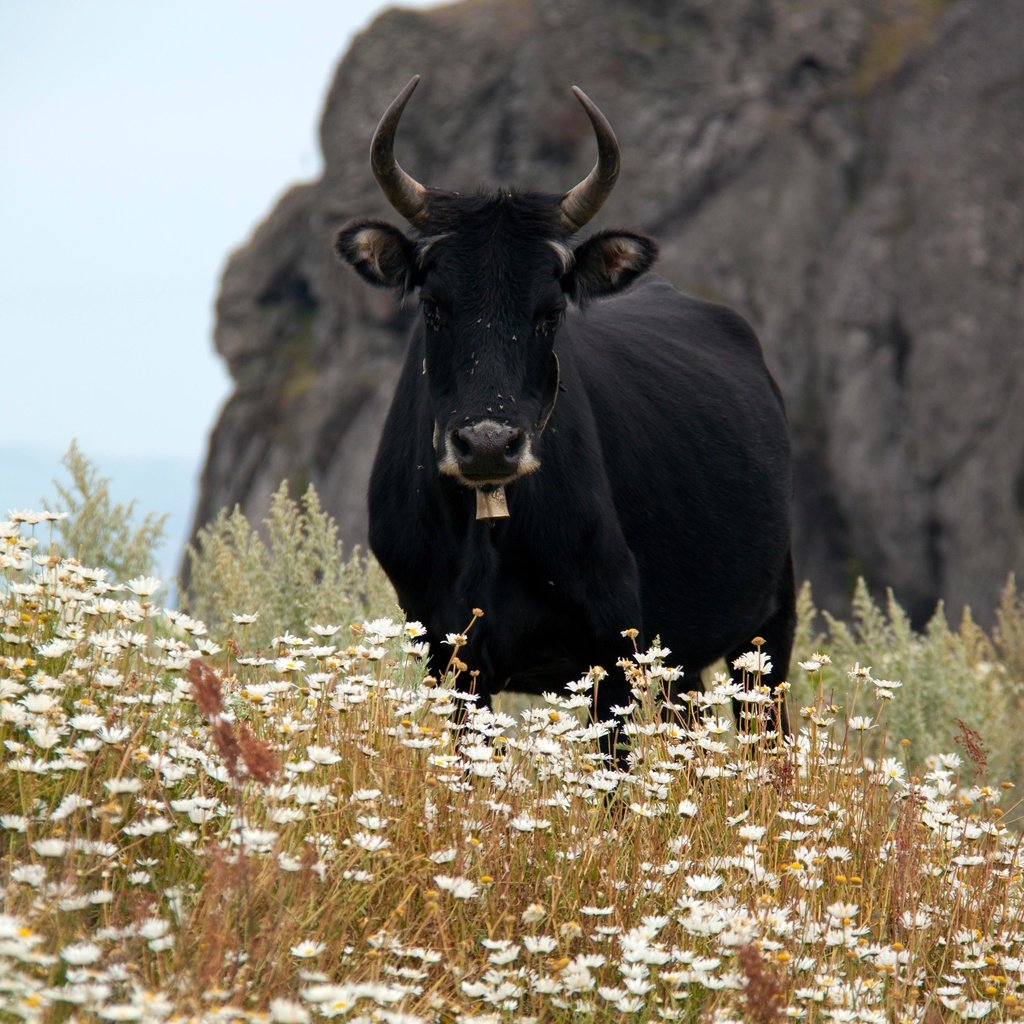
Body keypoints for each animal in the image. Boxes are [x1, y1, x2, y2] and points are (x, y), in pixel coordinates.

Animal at [335, 77, 790, 737]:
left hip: (768, 626)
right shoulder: (448, 655)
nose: (489, 444)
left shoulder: (615, 645)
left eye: (549, 313)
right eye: (433, 307)